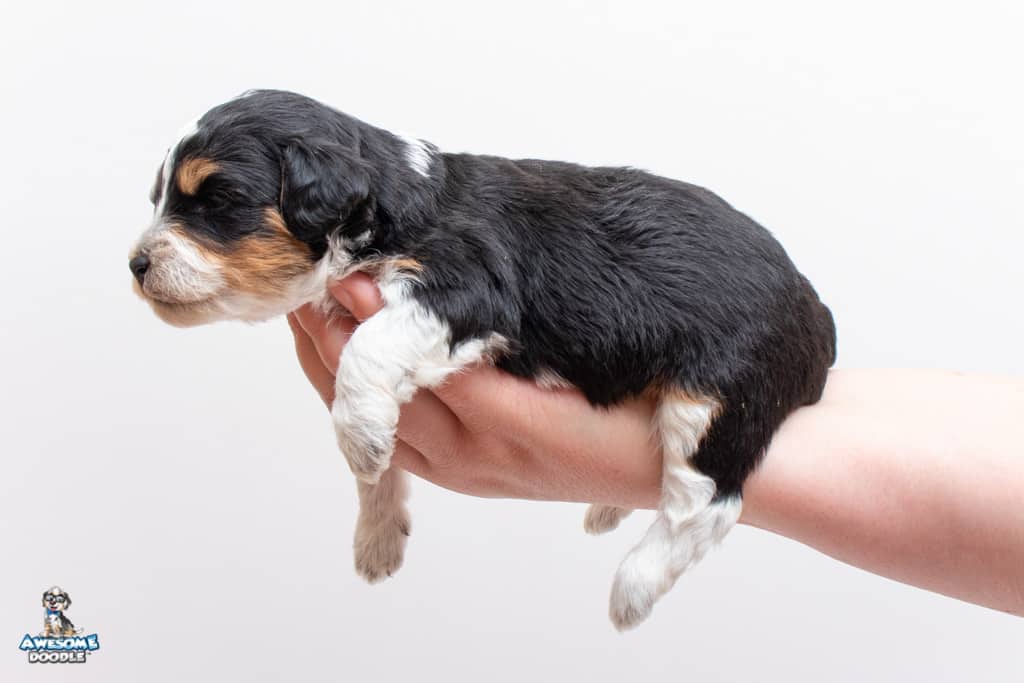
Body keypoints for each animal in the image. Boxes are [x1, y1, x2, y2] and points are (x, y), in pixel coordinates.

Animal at [129, 90, 835, 630]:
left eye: (216, 200)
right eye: (161, 197)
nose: (135, 264)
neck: (389, 197)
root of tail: (815, 311)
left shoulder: (466, 289)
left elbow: (367, 352)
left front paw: (360, 439)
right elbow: (380, 467)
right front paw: (377, 533)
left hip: (719, 393)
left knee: (706, 503)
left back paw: (631, 590)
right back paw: (607, 509)